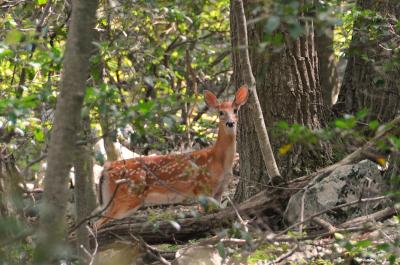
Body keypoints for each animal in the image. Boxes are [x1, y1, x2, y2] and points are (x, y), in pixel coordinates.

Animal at [95, 86, 248, 227]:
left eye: (235, 110)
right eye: (221, 112)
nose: (230, 123)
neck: (219, 159)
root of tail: (107, 169)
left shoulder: (219, 190)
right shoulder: (203, 188)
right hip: (126, 197)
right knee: (96, 223)